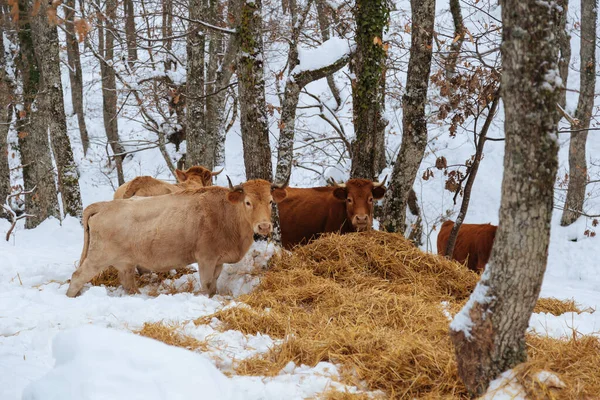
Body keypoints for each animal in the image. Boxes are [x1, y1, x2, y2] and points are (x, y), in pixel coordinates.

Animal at [67, 178, 288, 296]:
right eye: (248, 202)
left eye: (270, 201)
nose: (264, 226)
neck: (227, 215)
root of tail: (103, 205)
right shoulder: (205, 259)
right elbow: (207, 285)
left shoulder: (218, 261)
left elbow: (214, 284)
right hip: (98, 257)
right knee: (77, 276)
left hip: (125, 263)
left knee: (127, 281)